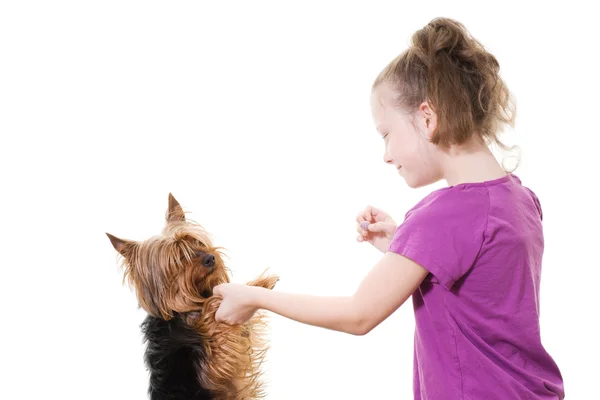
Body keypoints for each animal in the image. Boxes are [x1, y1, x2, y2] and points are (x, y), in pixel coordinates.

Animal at [106, 193, 278, 396]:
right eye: (177, 259)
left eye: (196, 242)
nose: (210, 258)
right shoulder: (212, 365)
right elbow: (215, 317)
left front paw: (259, 286)